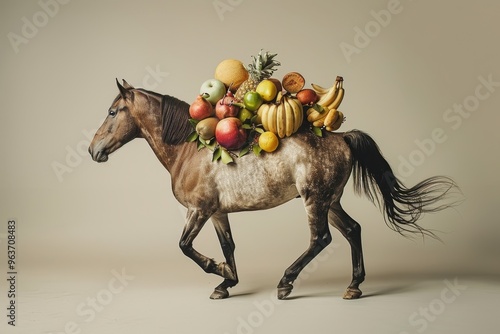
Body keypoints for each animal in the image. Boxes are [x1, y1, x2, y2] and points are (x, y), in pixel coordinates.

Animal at [89, 79, 458, 300]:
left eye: (112, 111)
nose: (94, 151)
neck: (189, 149)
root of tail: (343, 137)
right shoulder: (217, 212)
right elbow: (228, 246)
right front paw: (226, 282)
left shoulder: (199, 210)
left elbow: (185, 247)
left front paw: (220, 272)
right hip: (331, 202)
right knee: (353, 230)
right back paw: (353, 286)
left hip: (314, 201)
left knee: (321, 239)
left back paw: (286, 282)